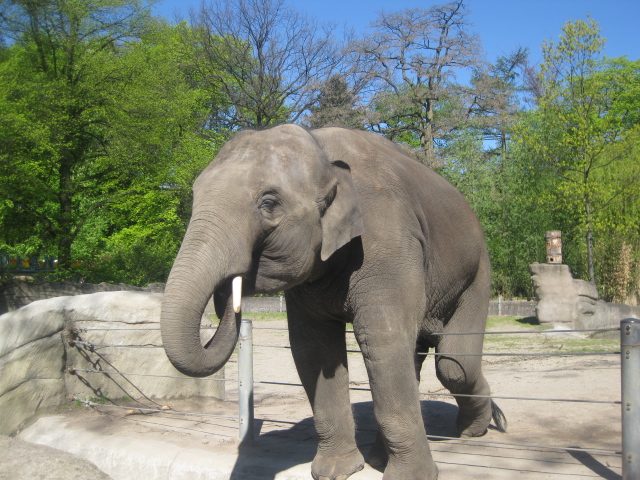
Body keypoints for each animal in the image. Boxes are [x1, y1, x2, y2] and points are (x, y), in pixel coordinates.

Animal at [160, 124, 504, 480]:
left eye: (268, 203)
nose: (228, 292)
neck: (322, 150)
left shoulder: (388, 241)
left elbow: (383, 339)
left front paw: (409, 477)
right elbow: (314, 348)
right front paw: (336, 471)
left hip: (477, 272)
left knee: (453, 363)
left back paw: (475, 429)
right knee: (420, 358)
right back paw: (387, 454)